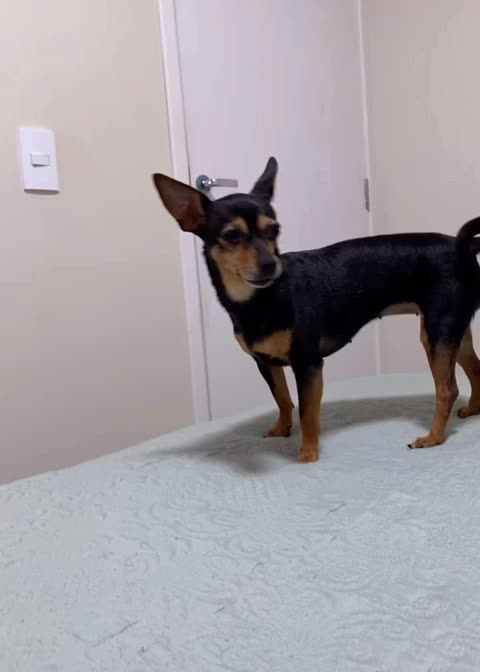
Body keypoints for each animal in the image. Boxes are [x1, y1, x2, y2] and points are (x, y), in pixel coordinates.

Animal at [153, 157, 480, 462]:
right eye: (232, 236)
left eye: (275, 230)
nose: (270, 264)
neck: (260, 299)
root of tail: (461, 247)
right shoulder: (266, 363)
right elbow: (283, 399)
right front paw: (281, 430)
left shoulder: (308, 364)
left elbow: (307, 412)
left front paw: (307, 456)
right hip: (454, 332)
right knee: (475, 368)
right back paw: (474, 410)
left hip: (438, 333)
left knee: (447, 389)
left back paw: (433, 438)